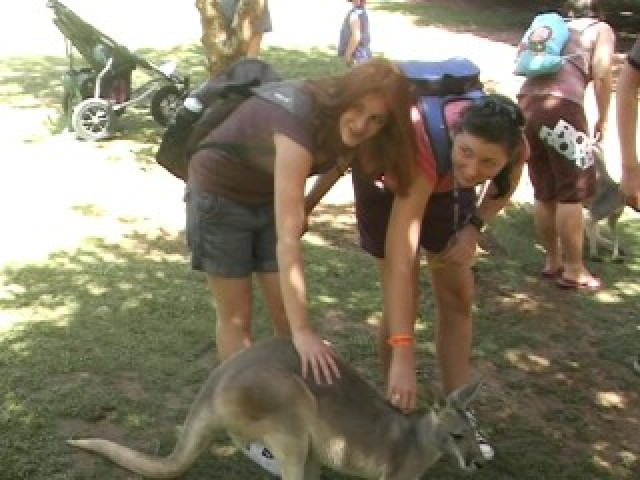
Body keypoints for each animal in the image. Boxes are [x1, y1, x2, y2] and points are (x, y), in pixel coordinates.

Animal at [67, 337, 486, 479]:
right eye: (457, 435)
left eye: (475, 432)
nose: (479, 462)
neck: (418, 440)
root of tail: (214, 386)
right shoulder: (397, 475)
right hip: (284, 405)